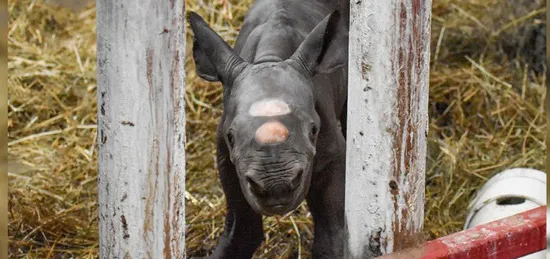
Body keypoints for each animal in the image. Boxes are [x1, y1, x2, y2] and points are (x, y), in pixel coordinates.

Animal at [190, 0, 352, 258]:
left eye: (313, 130)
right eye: (231, 137)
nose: (276, 186)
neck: (270, 58)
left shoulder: (331, 154)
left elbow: (331, 234)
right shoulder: (227, 159)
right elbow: (242, 229)